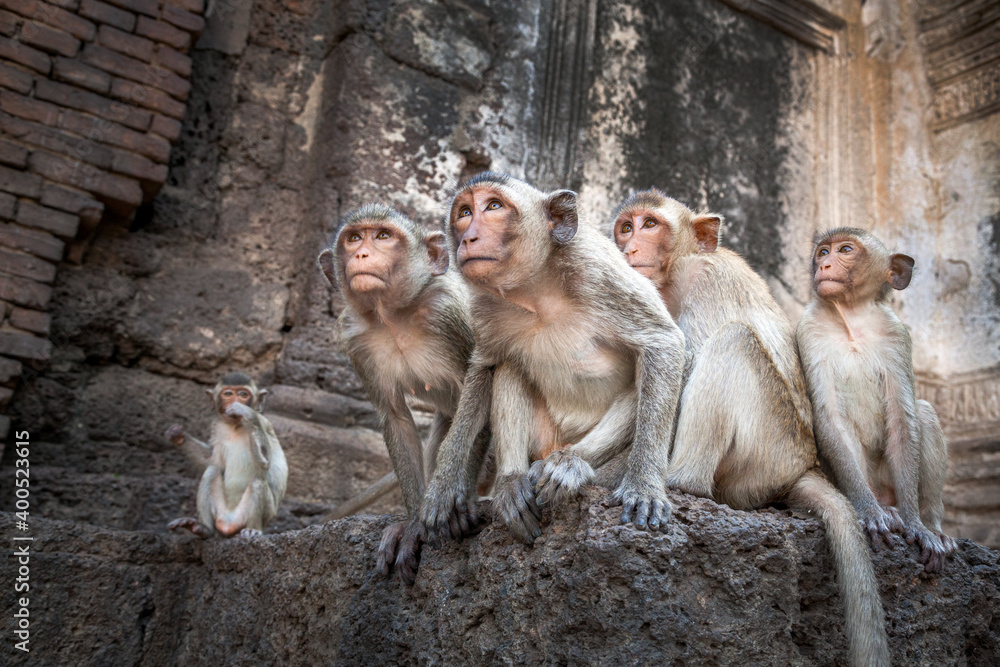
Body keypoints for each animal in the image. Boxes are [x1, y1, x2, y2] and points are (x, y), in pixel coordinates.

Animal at [166, 372, 288, 539]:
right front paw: (178, 435)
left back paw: (252, 529)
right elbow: (211, 460)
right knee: (212, 471)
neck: (235, 426)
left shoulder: (265, 423)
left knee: (257, 481)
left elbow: (265, 462)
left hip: (258, 515)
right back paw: (203, 528)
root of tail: (229, 522)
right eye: (228, 394)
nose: (235, 400)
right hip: (221, 512)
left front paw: (246, 413)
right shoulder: (218, 428)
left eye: (243, 394)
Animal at [317, 204, 490, 584]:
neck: (395, 316)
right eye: (354, 238)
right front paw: (412, 525)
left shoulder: (451, 315)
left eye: (383, 236)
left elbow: (485, 385)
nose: (362, 254)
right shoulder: (356, 340)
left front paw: (457, 496)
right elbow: (395, 418)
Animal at [420, 173, 686, 548]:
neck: (536, 289)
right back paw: (512, 482)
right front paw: (443, 487)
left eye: (494, 206)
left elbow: (663, 343)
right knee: (510, 365)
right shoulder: (485, 305)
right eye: (464, 212)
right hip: (542, 440)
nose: (469, 237)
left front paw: (644, 485)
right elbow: (485, 367)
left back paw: (571, 466)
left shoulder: (599, 272)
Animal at [612, 190, 890, 667]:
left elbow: (683, 359)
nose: (629, 247)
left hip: (767, 452)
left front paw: (637, 481)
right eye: (626, 226)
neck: (677, 270)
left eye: (650, 225)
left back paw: (683, 482)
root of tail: (803, 466)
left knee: (734, 340)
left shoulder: (706, 281)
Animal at [796, 227, 956, 573]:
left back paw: (931, 524)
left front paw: (917, 526)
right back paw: (883, 510)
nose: (824, 266)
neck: (853, 319)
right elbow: (830, 418)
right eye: (823, 252)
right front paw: (869, 514)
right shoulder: (809, 331)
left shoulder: (896, 334)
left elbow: (903, 418)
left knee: (924, 412)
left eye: (845, 250)